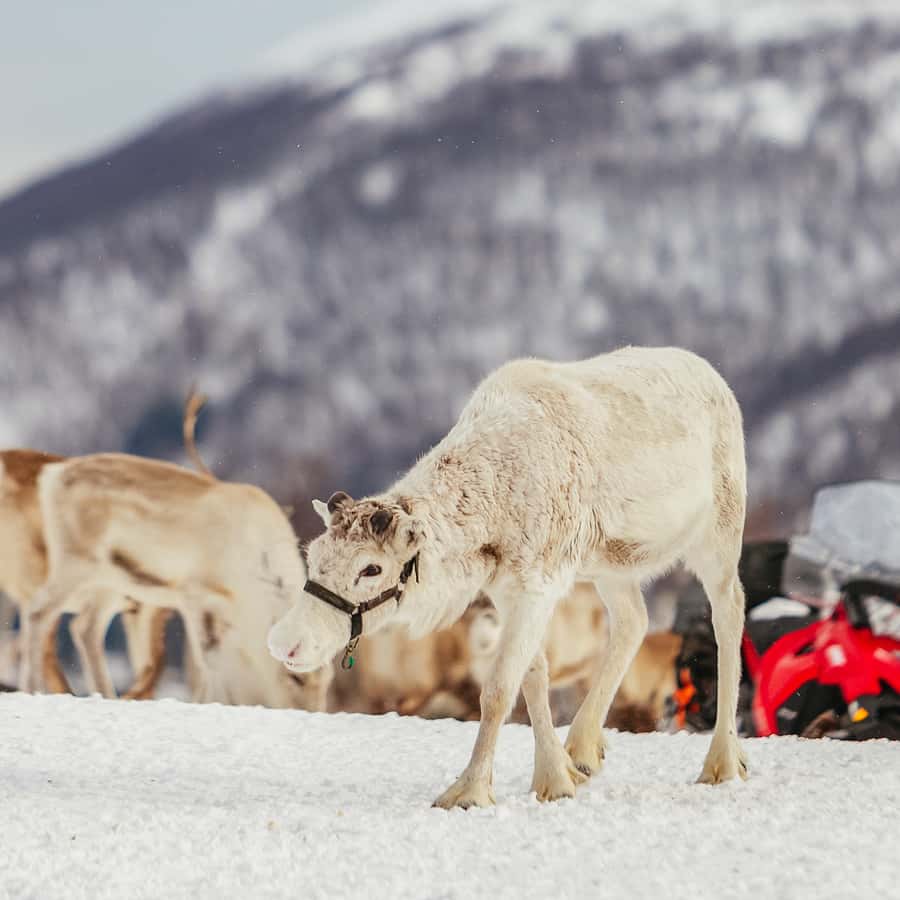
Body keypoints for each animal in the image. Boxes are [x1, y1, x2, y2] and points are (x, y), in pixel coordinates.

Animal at [268, 346, 748, 807]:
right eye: (313, 554)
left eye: (371, 568)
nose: (284, 643)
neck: (494, 501)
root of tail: (715, 378)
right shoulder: (506, 589)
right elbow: (534, 675)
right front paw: (556, 777)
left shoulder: (539, 585)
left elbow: (499, 688)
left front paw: (470, 790)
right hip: (611, 565)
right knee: (634, 622)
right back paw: (582, 749)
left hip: (719, 534)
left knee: (728, 615)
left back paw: (723, 761)